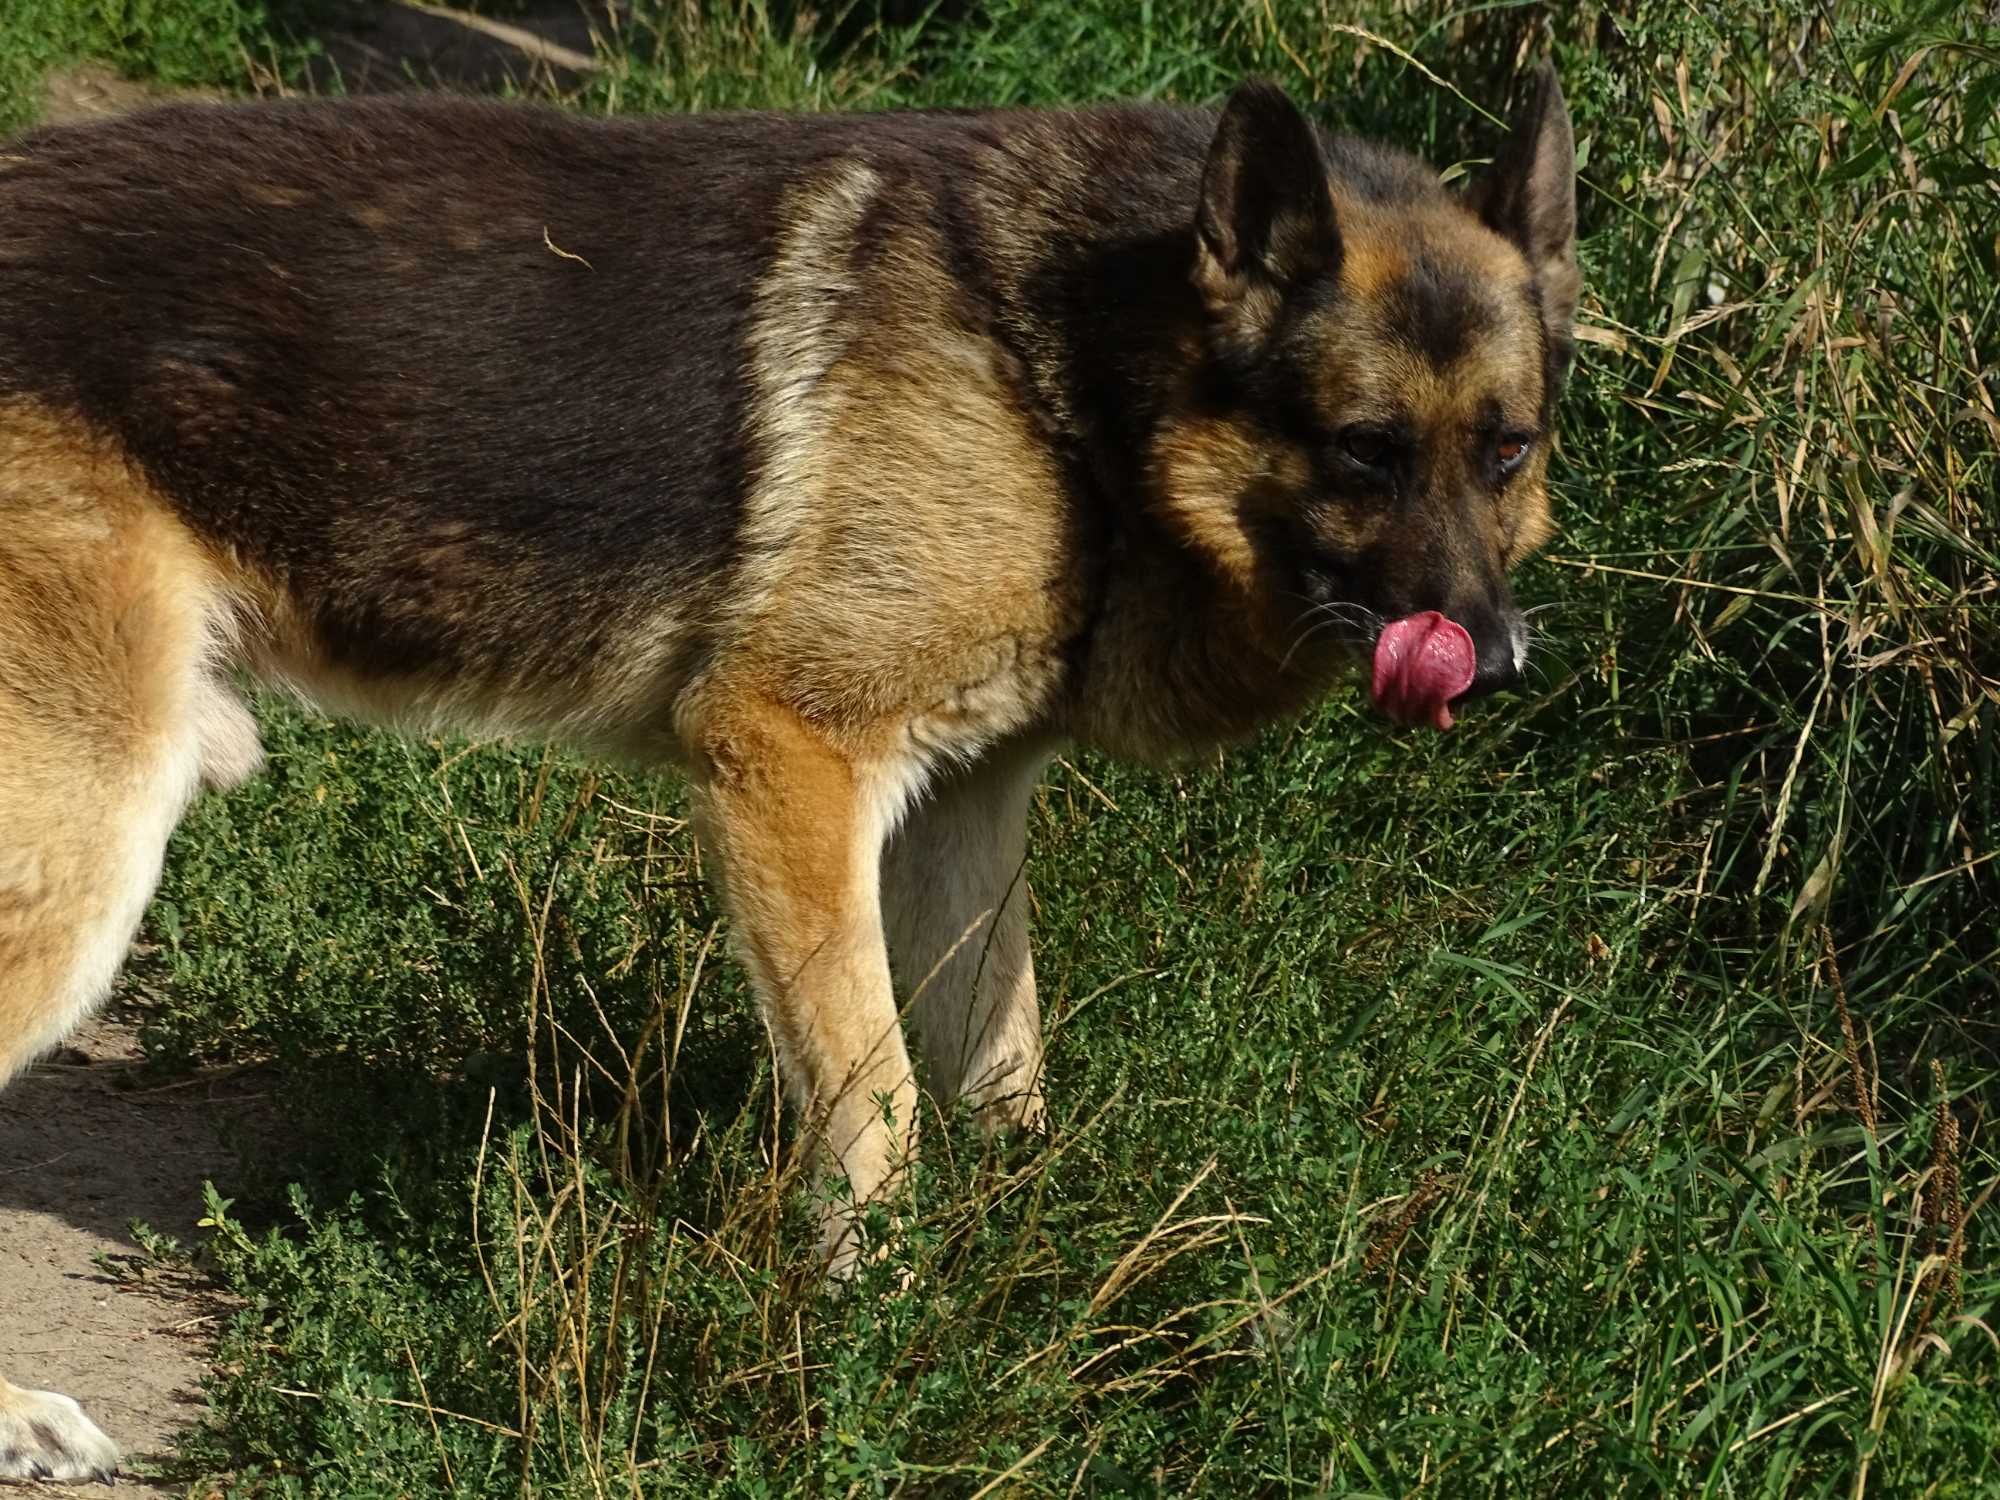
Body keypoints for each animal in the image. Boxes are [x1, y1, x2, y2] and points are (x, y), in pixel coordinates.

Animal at [0, 67, 1576, 1480]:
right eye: (1363, 451)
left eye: (1507, 450)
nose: (1492, 665)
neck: (1069, 370)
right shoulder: (787, 762)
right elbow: (875, 1108)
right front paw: (882, 1350)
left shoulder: (964, 813)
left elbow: (1002, 1079)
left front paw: (1031, 1287)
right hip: (83, 858)